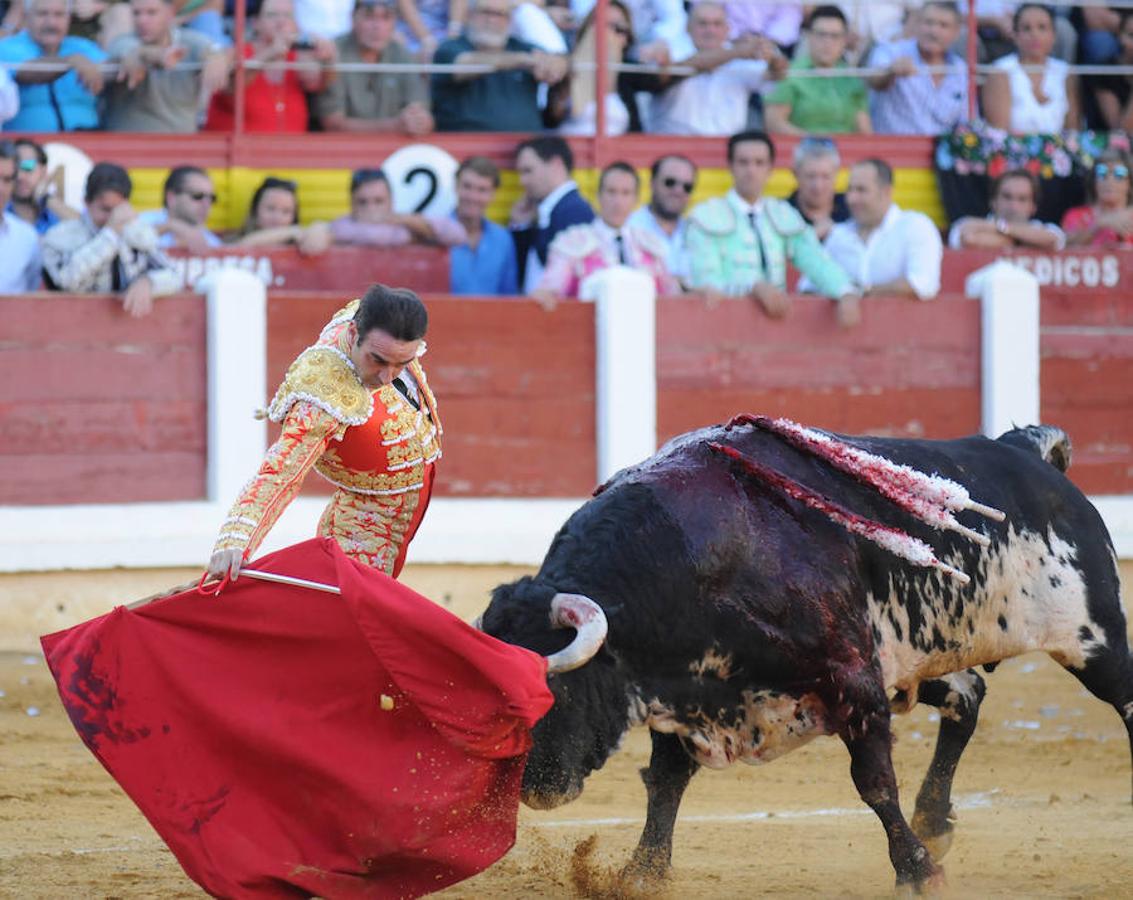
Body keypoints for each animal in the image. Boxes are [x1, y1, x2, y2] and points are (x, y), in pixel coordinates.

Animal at [480, 417, 1133, 888]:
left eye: (557, 691)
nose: (535, 788)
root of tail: (1025, 449)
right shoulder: (681, 697)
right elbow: (664, 781)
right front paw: (642, 872)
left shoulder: (854, 683)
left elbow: (874, 783)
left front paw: (917, 872)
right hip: (914, 657)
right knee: (967, 699)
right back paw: (934, 817)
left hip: (1093, 636)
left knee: (1122, 699)